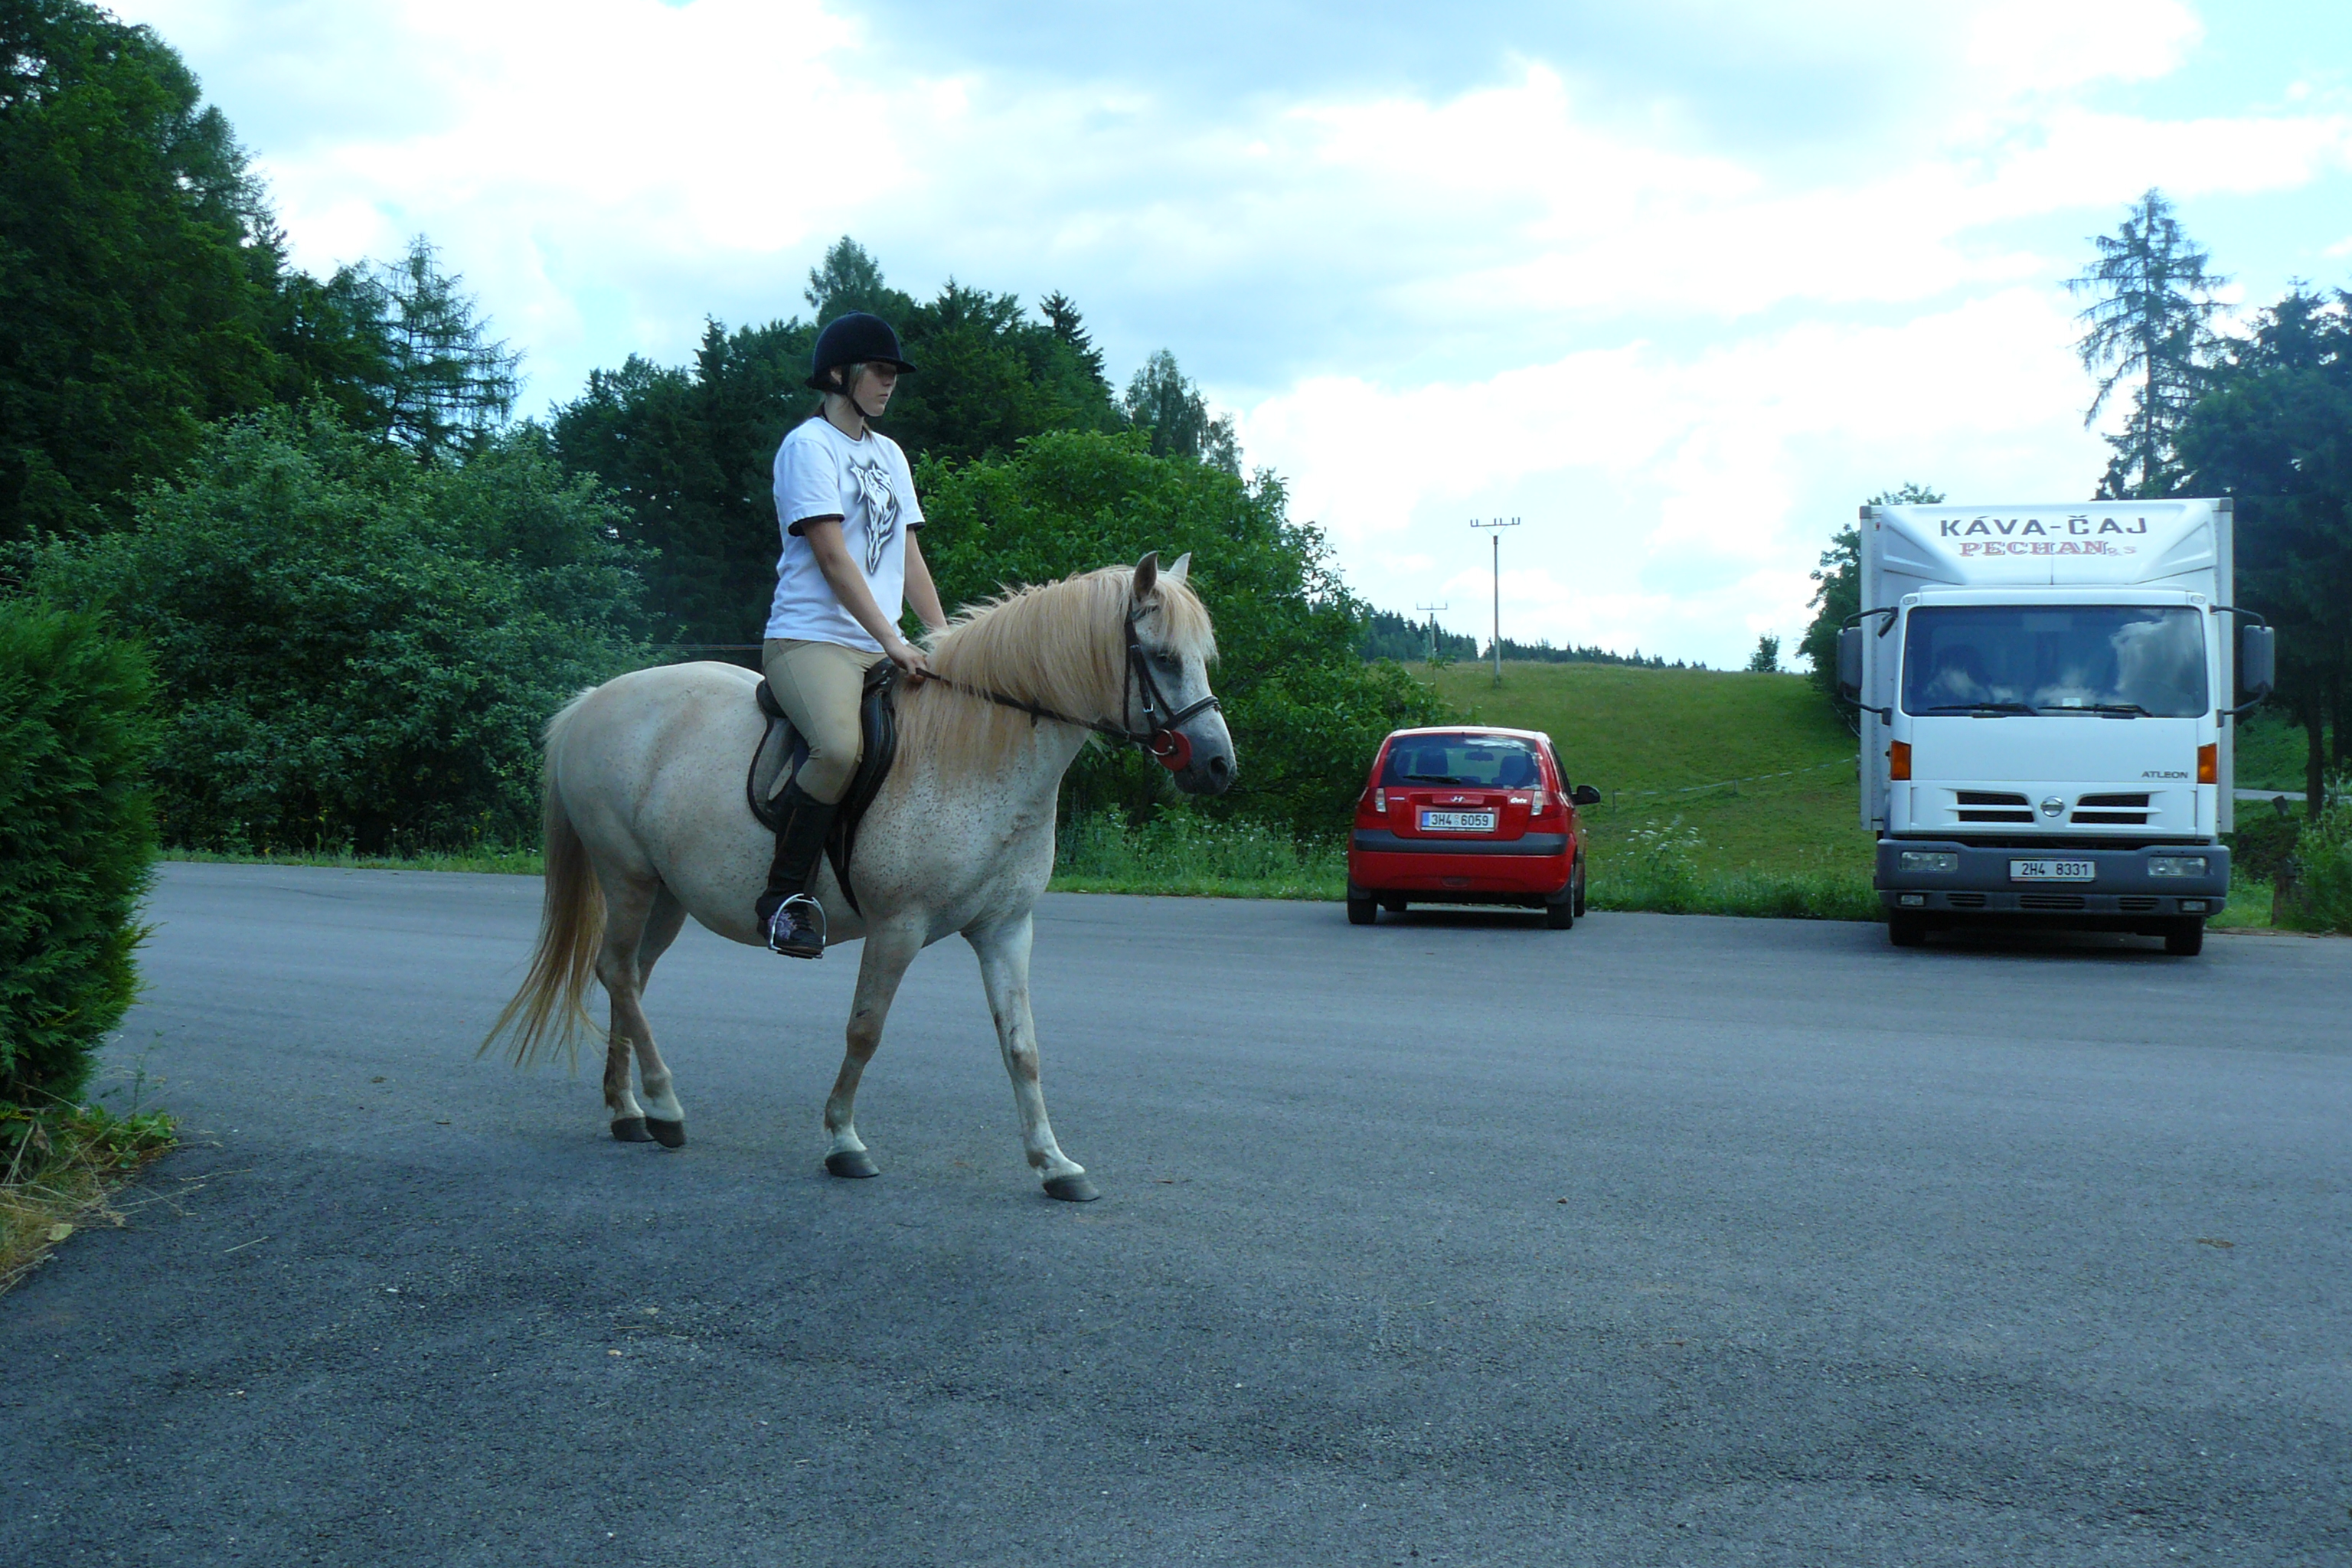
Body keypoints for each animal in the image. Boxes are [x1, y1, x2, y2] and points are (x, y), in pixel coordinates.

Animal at [488, 552, 1242, 1204]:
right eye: (1163, 658)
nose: (1218, 767)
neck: (976, 749)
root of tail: (591, 702)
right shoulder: (897, 927)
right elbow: (866, 1031)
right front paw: (843, 1142)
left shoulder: (1006, 930)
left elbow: (1022, 1049)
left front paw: (1055, 1165)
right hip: (628, 877)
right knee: (617, 972)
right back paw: (666, 1106)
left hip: (666, 895)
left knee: (630, 978)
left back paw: (627, 1111)